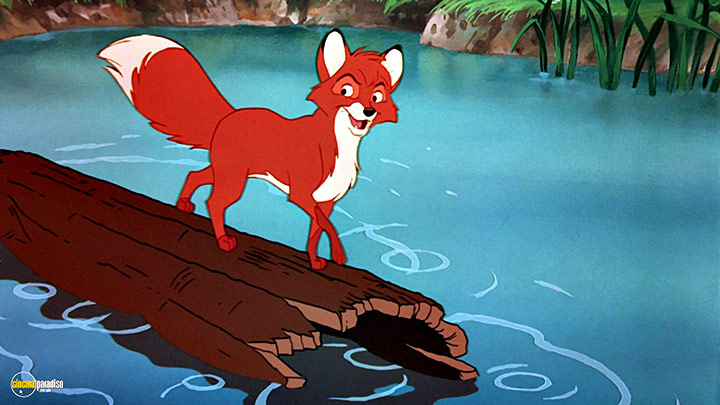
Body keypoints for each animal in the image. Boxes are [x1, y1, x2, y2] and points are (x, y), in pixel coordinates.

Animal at [98, 29, 403, 270]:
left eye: (377, 96)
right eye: (347, 91)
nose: (368, 110)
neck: (339, 144)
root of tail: (228, 116)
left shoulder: (325, 200)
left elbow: (317, 231)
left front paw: (316, 261)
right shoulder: (301, 194)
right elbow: (328, 226)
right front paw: (339, 255)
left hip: (227, 173)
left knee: (195, 176)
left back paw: (183, 204)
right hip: (234, 180)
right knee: (214, 202)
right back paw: (222, 240)